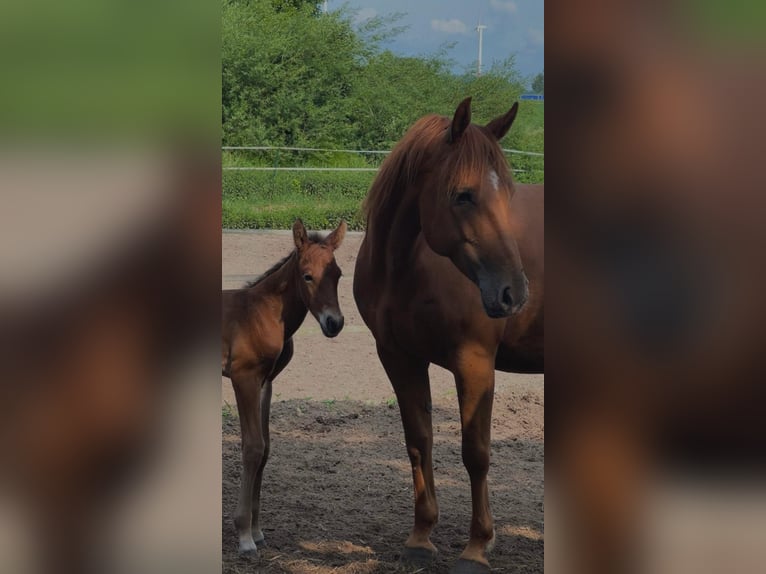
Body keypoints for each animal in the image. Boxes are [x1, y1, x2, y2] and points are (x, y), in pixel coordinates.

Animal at [221, 219, 346, 556]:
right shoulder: (243, 377)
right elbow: (252, 447)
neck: (262, 313)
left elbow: (265, 449)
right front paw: (244, 535)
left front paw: (257, 529)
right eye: (307, 275)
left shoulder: (266, 382)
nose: (335, 324)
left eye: (338, 274)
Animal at [353, 97, 544, 573]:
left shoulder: (474, 363)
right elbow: (418, 441)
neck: (407, 265)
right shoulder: (398, 357)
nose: (514, 292)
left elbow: (475, 452)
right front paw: (421, 537)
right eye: (464, 195)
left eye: (507, 194)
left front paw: (477, 547)